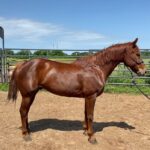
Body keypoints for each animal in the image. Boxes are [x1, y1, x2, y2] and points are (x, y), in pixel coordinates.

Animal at [7, 38, 146, 144]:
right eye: (137, 54)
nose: (143, 71)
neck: (96, 68)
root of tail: (23, 64)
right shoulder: (91, 96)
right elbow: (90, 116)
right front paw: (92, 137)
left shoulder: (87, 97)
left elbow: (85, 114)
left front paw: (85, 131)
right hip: (27, 95)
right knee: (23, 111)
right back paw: (26, 135)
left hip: (32, 94)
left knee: (26, 112)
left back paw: (28, 131)